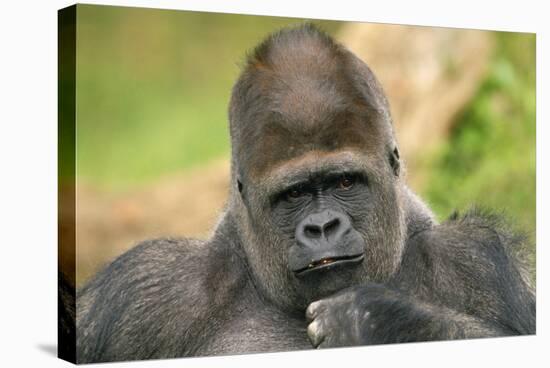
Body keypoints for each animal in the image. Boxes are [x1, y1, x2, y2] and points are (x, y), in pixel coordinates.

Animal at [75, 25, 536, 362]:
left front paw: (376, 321)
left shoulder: (475, 258)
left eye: (345, 183)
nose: (322, 227)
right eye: (295, 194)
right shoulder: (147, 285)